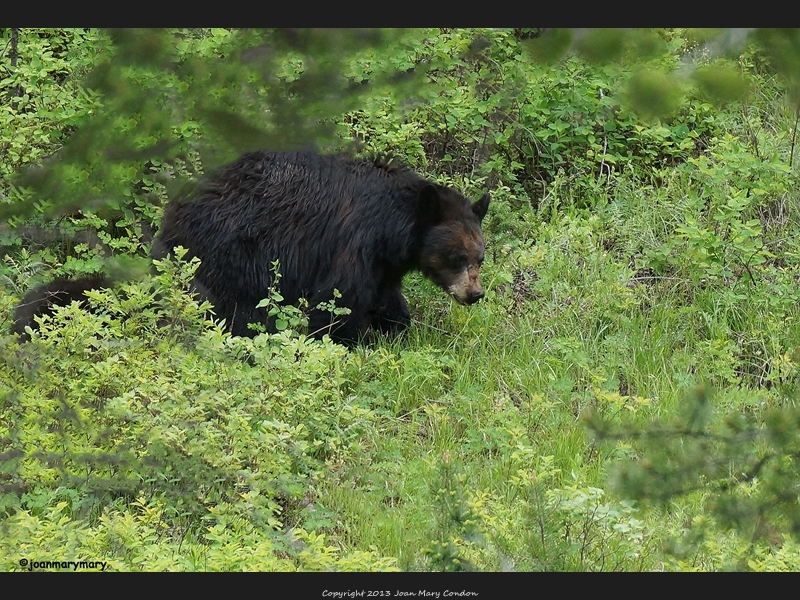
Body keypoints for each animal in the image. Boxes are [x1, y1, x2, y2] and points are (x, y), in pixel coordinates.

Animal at [10, 150, 488, 346]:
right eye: (458, 256)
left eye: (480, 257)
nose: (475, 293)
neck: (395, 227)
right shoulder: (353, 243)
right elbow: (339, 299)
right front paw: (354, 342)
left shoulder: (385, 261)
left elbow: (386, 296)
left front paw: (399, 327)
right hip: (234, 255)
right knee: (234, 309)